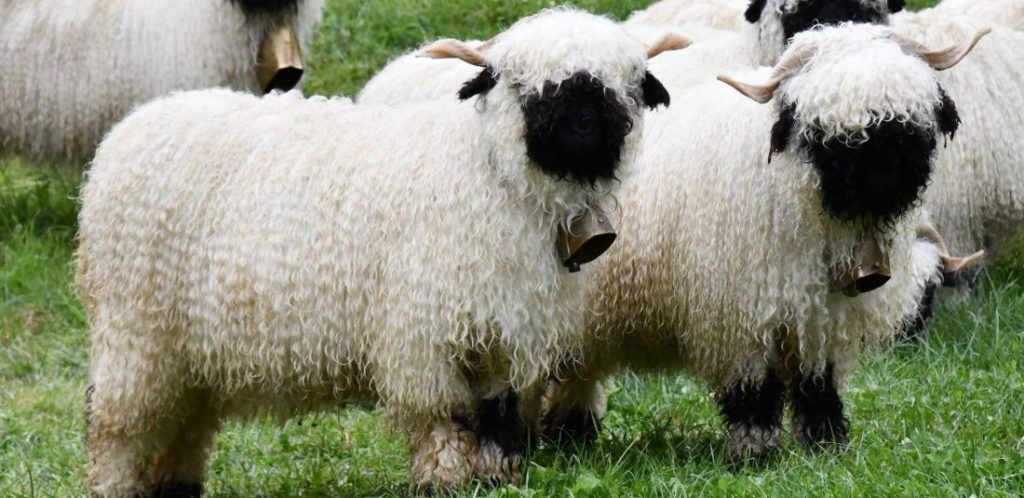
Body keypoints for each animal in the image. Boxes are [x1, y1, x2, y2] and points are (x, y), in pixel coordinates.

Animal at [77, 7, 688, 493]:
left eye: (628, 82)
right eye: (518, 83)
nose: (583, 125)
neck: (488, 176)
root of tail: (131, 128)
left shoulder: (503, 329)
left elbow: (498, 415)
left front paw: (494, 478)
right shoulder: (424, 333)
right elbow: (443, 415)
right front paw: (445, 479)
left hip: (188, 346)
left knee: (184, 420)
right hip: (137, 329)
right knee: (116, 424)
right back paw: (115, 483)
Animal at [536, 25, 983, 457]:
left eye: (905, 120)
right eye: (824, 129)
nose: (883, 178)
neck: (790, 189)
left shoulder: (819, 312)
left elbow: (817, 382)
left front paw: (826, 445)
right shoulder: (736, 314)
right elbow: (753, 389)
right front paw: (755, 450)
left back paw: (568, 436)